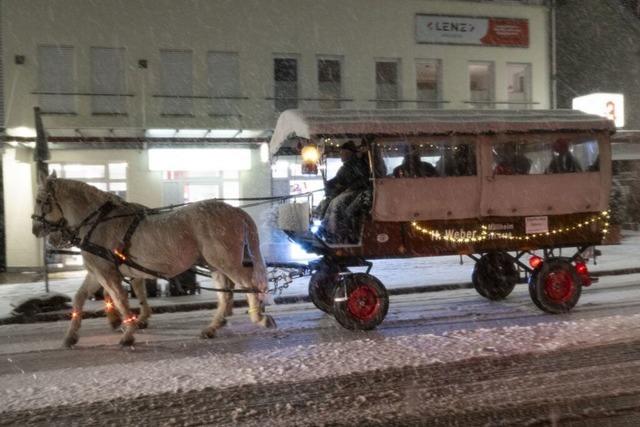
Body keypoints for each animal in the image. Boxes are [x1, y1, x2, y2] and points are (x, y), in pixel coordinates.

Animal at [33, 171, 272, 348]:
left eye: (40, 200)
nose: (36, 229)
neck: (99, 222)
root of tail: (236, 211)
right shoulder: (97, 271)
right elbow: (80, 298)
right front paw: (71, 336)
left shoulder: (107, 273)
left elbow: (119, 299)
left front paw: (128, 332)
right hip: (215, 265)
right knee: (225, 296)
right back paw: (213, 327)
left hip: (227, 262)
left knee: (249, 286)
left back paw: (258, 317)